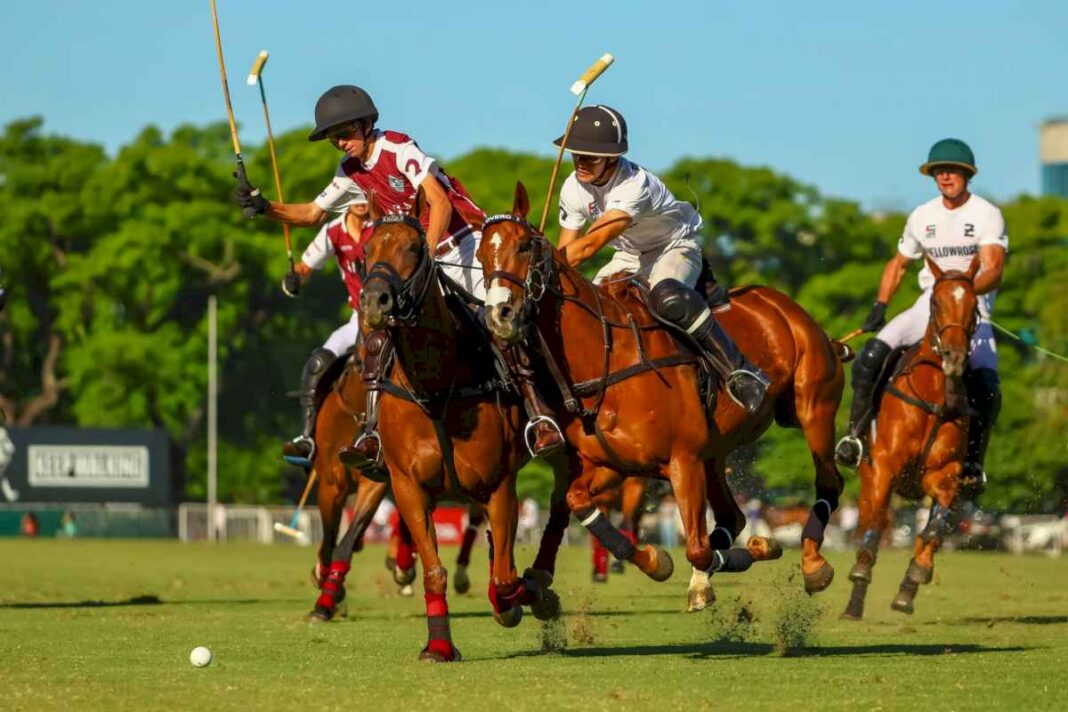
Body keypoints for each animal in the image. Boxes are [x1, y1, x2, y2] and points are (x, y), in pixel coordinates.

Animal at [358, 196, 568, 661]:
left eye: (414, 248)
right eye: (367, 250)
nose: (375, 302)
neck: (435, 385)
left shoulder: (499, 483)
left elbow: (507, 579)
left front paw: (525, 601)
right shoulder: (408, 487)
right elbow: (433, 571)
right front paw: (438, 645)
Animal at [480, 181, 845, 593]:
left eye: (524, 246)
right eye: (481, 254)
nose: (499, 315)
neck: (606, 359)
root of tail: (782, 303)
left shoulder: (682, 458)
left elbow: (698, 550)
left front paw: (761, 547)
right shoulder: (613, 463)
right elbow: (578, 502)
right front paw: (657, 561)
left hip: (814, 408)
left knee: (829, 481)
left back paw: (813, 563)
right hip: (716, 450)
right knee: (732, 516)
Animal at [841, 256, 982, 619]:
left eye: (974, 305)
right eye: (936, 302)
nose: (954, 356)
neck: (933, 393)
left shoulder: (943, 475)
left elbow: (933, 528)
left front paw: (915, 577)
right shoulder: (885, 467)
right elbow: (877, 525)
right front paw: (860, 577)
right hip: (868, 474)